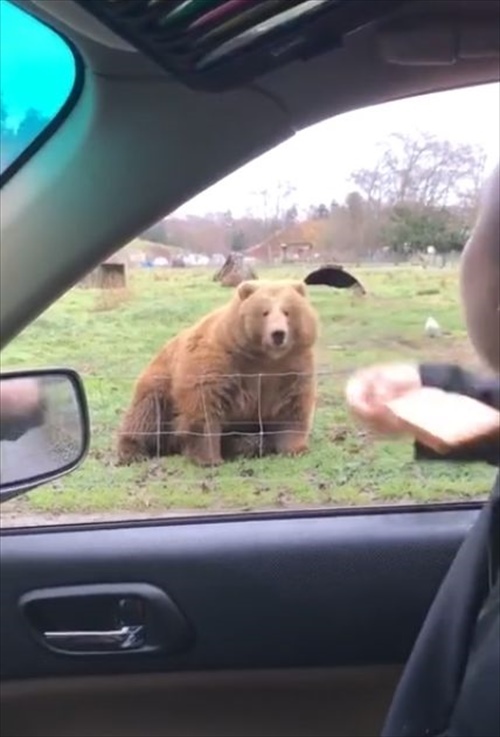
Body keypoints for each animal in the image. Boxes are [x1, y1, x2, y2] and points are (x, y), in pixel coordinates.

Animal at [117, 282, 318, 466]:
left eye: (287, 312)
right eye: (265, 312)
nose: (278, 334)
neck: (263, 358)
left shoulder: (290, 371)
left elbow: (292, 408)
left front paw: (296, 449)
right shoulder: (219, 366)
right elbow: (205, 409)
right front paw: (209, 458)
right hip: (159, 385)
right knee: (146, 415)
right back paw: (132, 452)